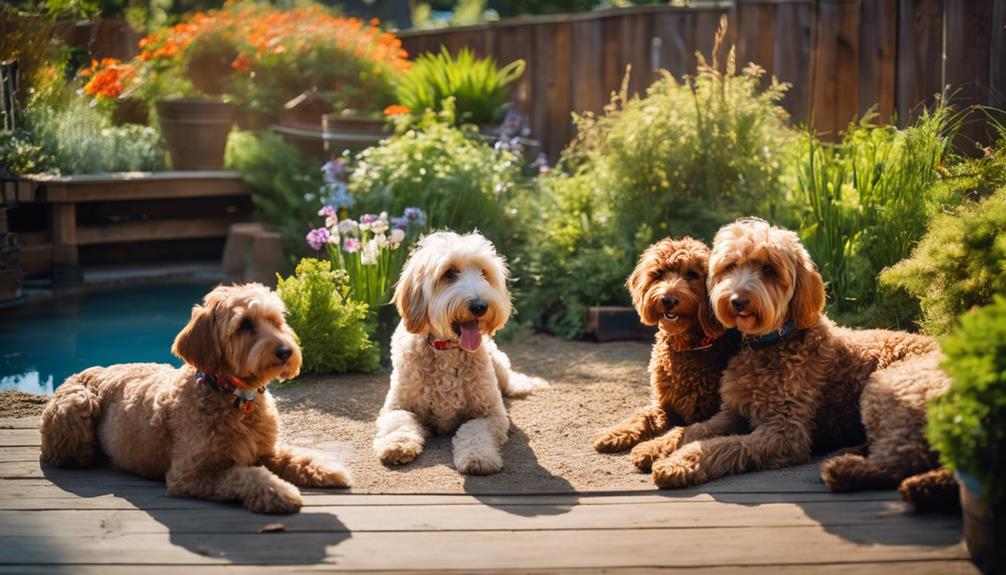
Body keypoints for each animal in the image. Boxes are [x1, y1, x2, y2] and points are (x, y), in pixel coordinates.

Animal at [39, 283, 350, 512]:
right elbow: (246, 474)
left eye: (276, 321)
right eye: (244, 325)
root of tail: (88, 370)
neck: (234, 397)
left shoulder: (265, 450)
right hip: (77, 404)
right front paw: (280, 492)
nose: (286, 351)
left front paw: (326, 468)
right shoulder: (191, 474)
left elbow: (293, 456)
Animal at [376, 231, 551, 474]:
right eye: (449, 273)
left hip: (498, 365)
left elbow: (473, 432)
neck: (446, 350)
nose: (480, 306)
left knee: (508, 377)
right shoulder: (396, 406)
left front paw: (478, 458)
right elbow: (399, 422)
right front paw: (397, 445)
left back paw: (519, 385)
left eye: (484, 273)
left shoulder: (491, 415)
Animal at [587, 237, 740, 454]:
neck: (685, 346)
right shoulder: (664, 403)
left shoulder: (703, 411)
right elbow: (643, 414)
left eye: (692, 274)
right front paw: (616, 433)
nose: (668, 299)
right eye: (659, 274)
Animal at [631, 219, 953, 506]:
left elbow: (727, 443)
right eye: (731, 266)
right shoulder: (733, 411)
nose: (737, 300)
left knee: (907, 457)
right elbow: (694, 430)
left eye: (769, 269)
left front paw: (679, 462)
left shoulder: (785, 431)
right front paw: (654, 446)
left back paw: (846, 470)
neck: (770, 343)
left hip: (888, 389)